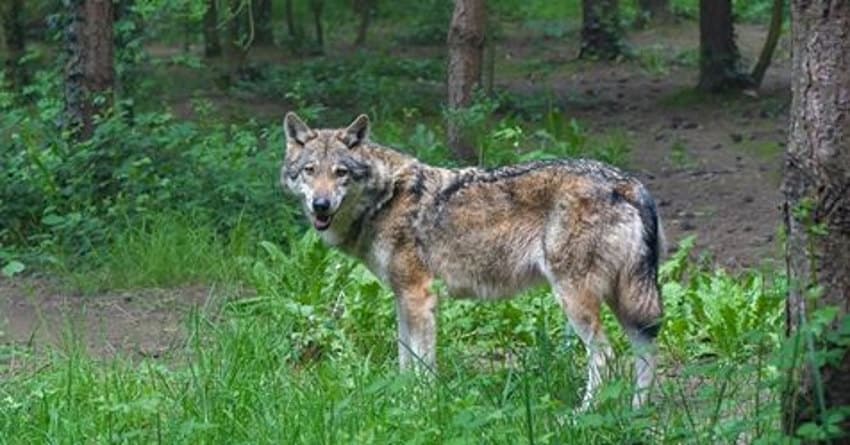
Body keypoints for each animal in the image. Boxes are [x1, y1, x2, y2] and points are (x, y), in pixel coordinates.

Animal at [280, 112, 664, 409]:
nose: (320, 205)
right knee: (645, 351)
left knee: (605, 355)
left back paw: (582, 415)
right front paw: (402, 402)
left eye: (340, 172)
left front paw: (422, 405)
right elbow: (405, 360)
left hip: (576, 299)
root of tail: (629, 183)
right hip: (625, 300)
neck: (385, 198)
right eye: (309, 170)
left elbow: (422, 364)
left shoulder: (419, 295)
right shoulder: (402, 298)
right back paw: (636, 411)